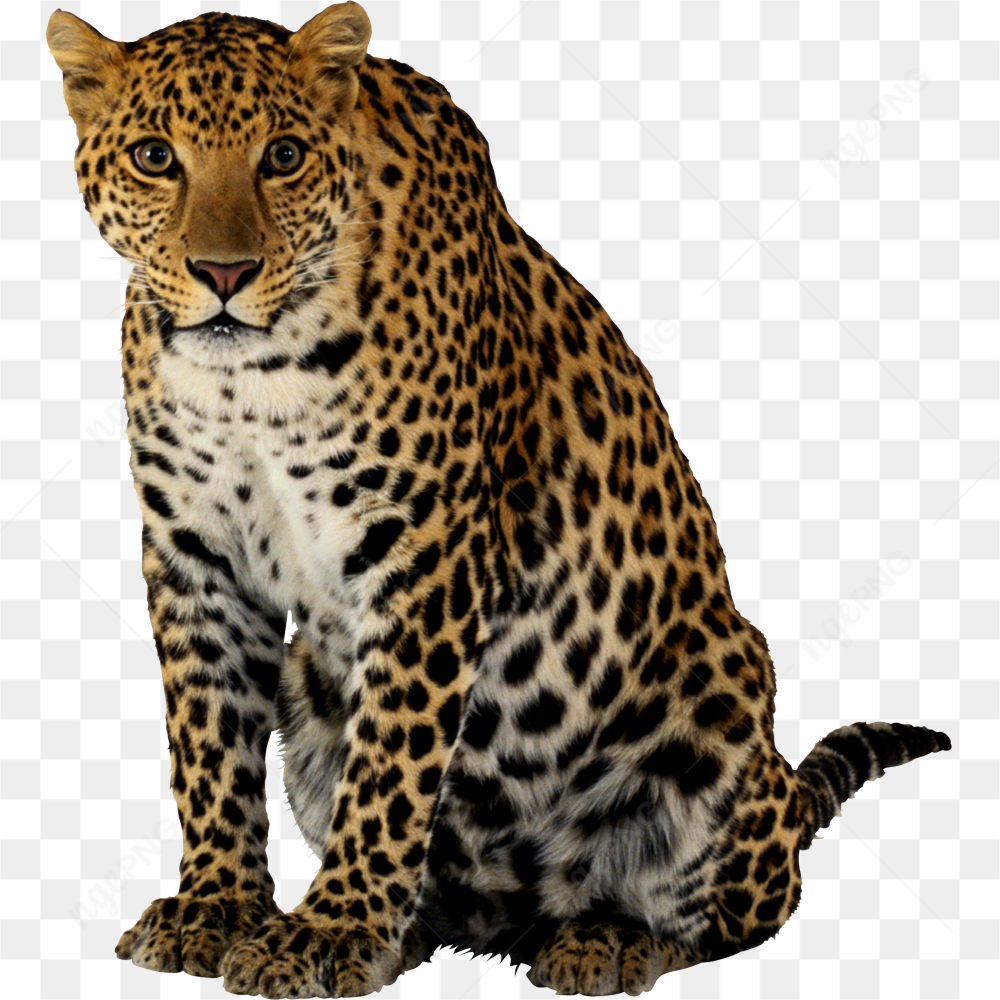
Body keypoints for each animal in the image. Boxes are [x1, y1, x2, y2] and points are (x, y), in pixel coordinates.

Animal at [48, 4, 952, 996]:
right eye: (154, 157)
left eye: (282, 156)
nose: (223, 273)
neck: (249, 377)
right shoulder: (195, 552)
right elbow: (208, 740)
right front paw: (218, 907)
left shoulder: (425, 550)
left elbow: (391, 764)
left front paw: (329, 930)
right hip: (310, 697)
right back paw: (415, 929)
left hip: (721, 700)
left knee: (742, 912)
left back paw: (607, 938)